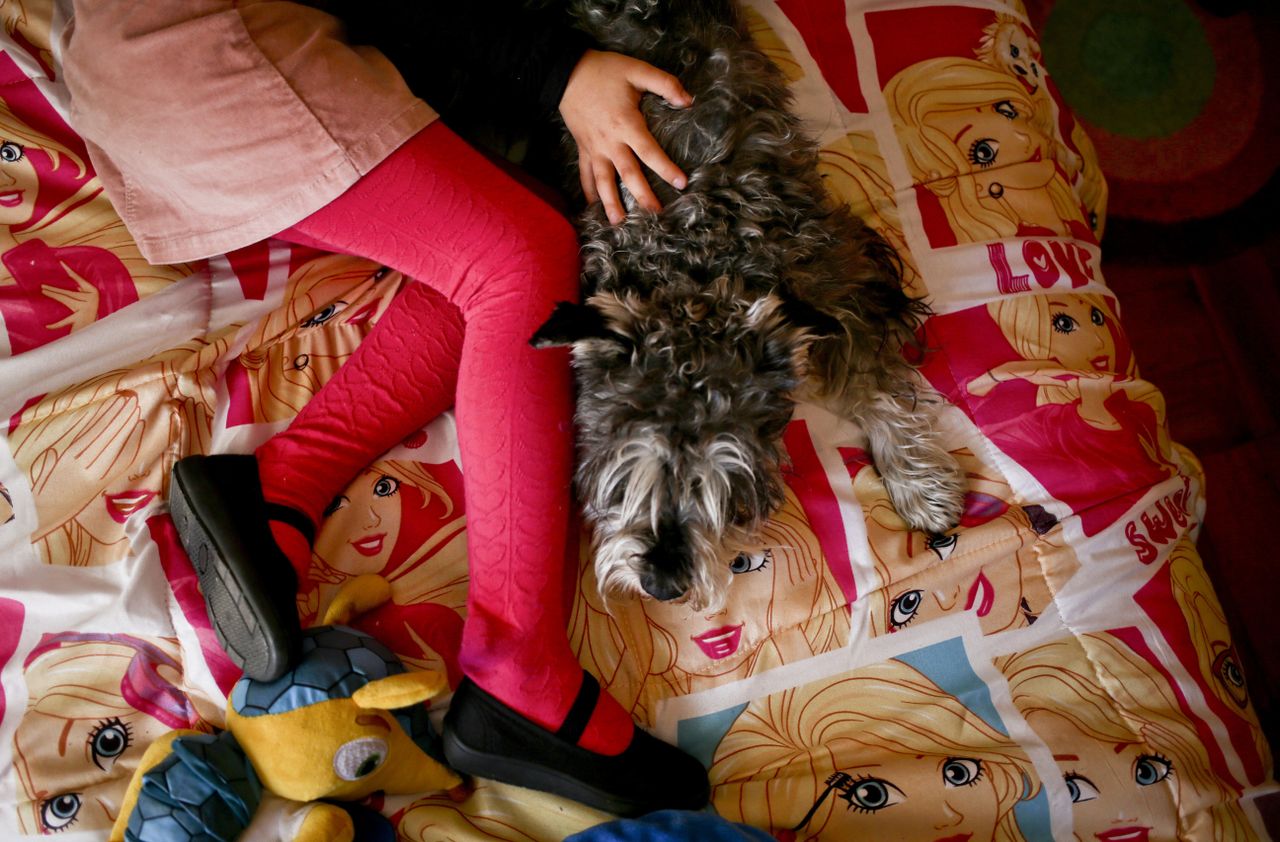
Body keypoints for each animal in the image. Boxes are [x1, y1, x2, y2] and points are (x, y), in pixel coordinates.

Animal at [532, 0, 967, 606]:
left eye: (725, 487)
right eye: (622, 475)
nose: (661, 584)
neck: (696, 264)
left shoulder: (841, 282)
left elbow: (873, 386)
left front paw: (920, 485)